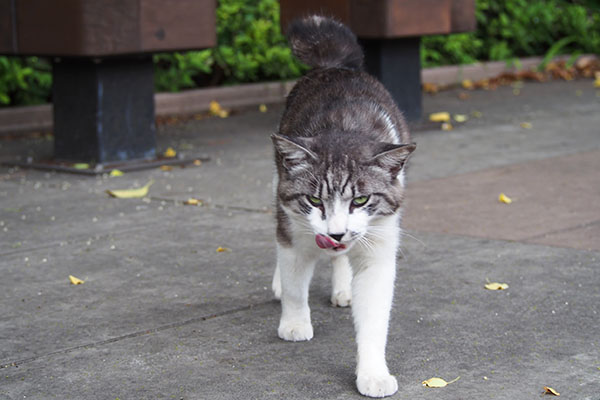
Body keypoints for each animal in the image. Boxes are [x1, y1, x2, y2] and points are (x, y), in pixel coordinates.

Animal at [270, 14, 414, 396]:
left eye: (361, 199)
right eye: (314, 199)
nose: (335, 233)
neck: (344, 128)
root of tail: (334, 67)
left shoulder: (379, 242)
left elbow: (375, 317)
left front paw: (373, 373)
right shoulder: (293, 223)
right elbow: (295, 281)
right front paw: (294, 323)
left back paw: (343, 286)